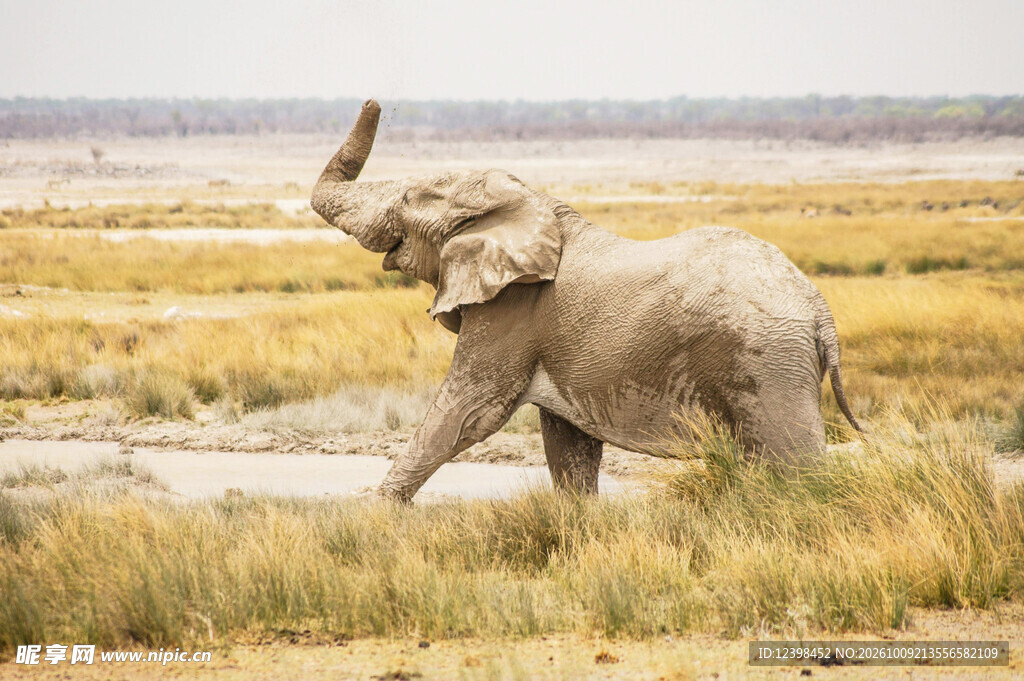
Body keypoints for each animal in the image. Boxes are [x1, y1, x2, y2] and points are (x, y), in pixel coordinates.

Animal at [311, 100, 862, 502]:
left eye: (407, 202)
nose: (375, 100)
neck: (529, 201)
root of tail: (819, 310)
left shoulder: (512, 313)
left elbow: (468, 413)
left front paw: (372, 513)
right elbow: (567, 442)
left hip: (767, 362)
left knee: (796, 462)